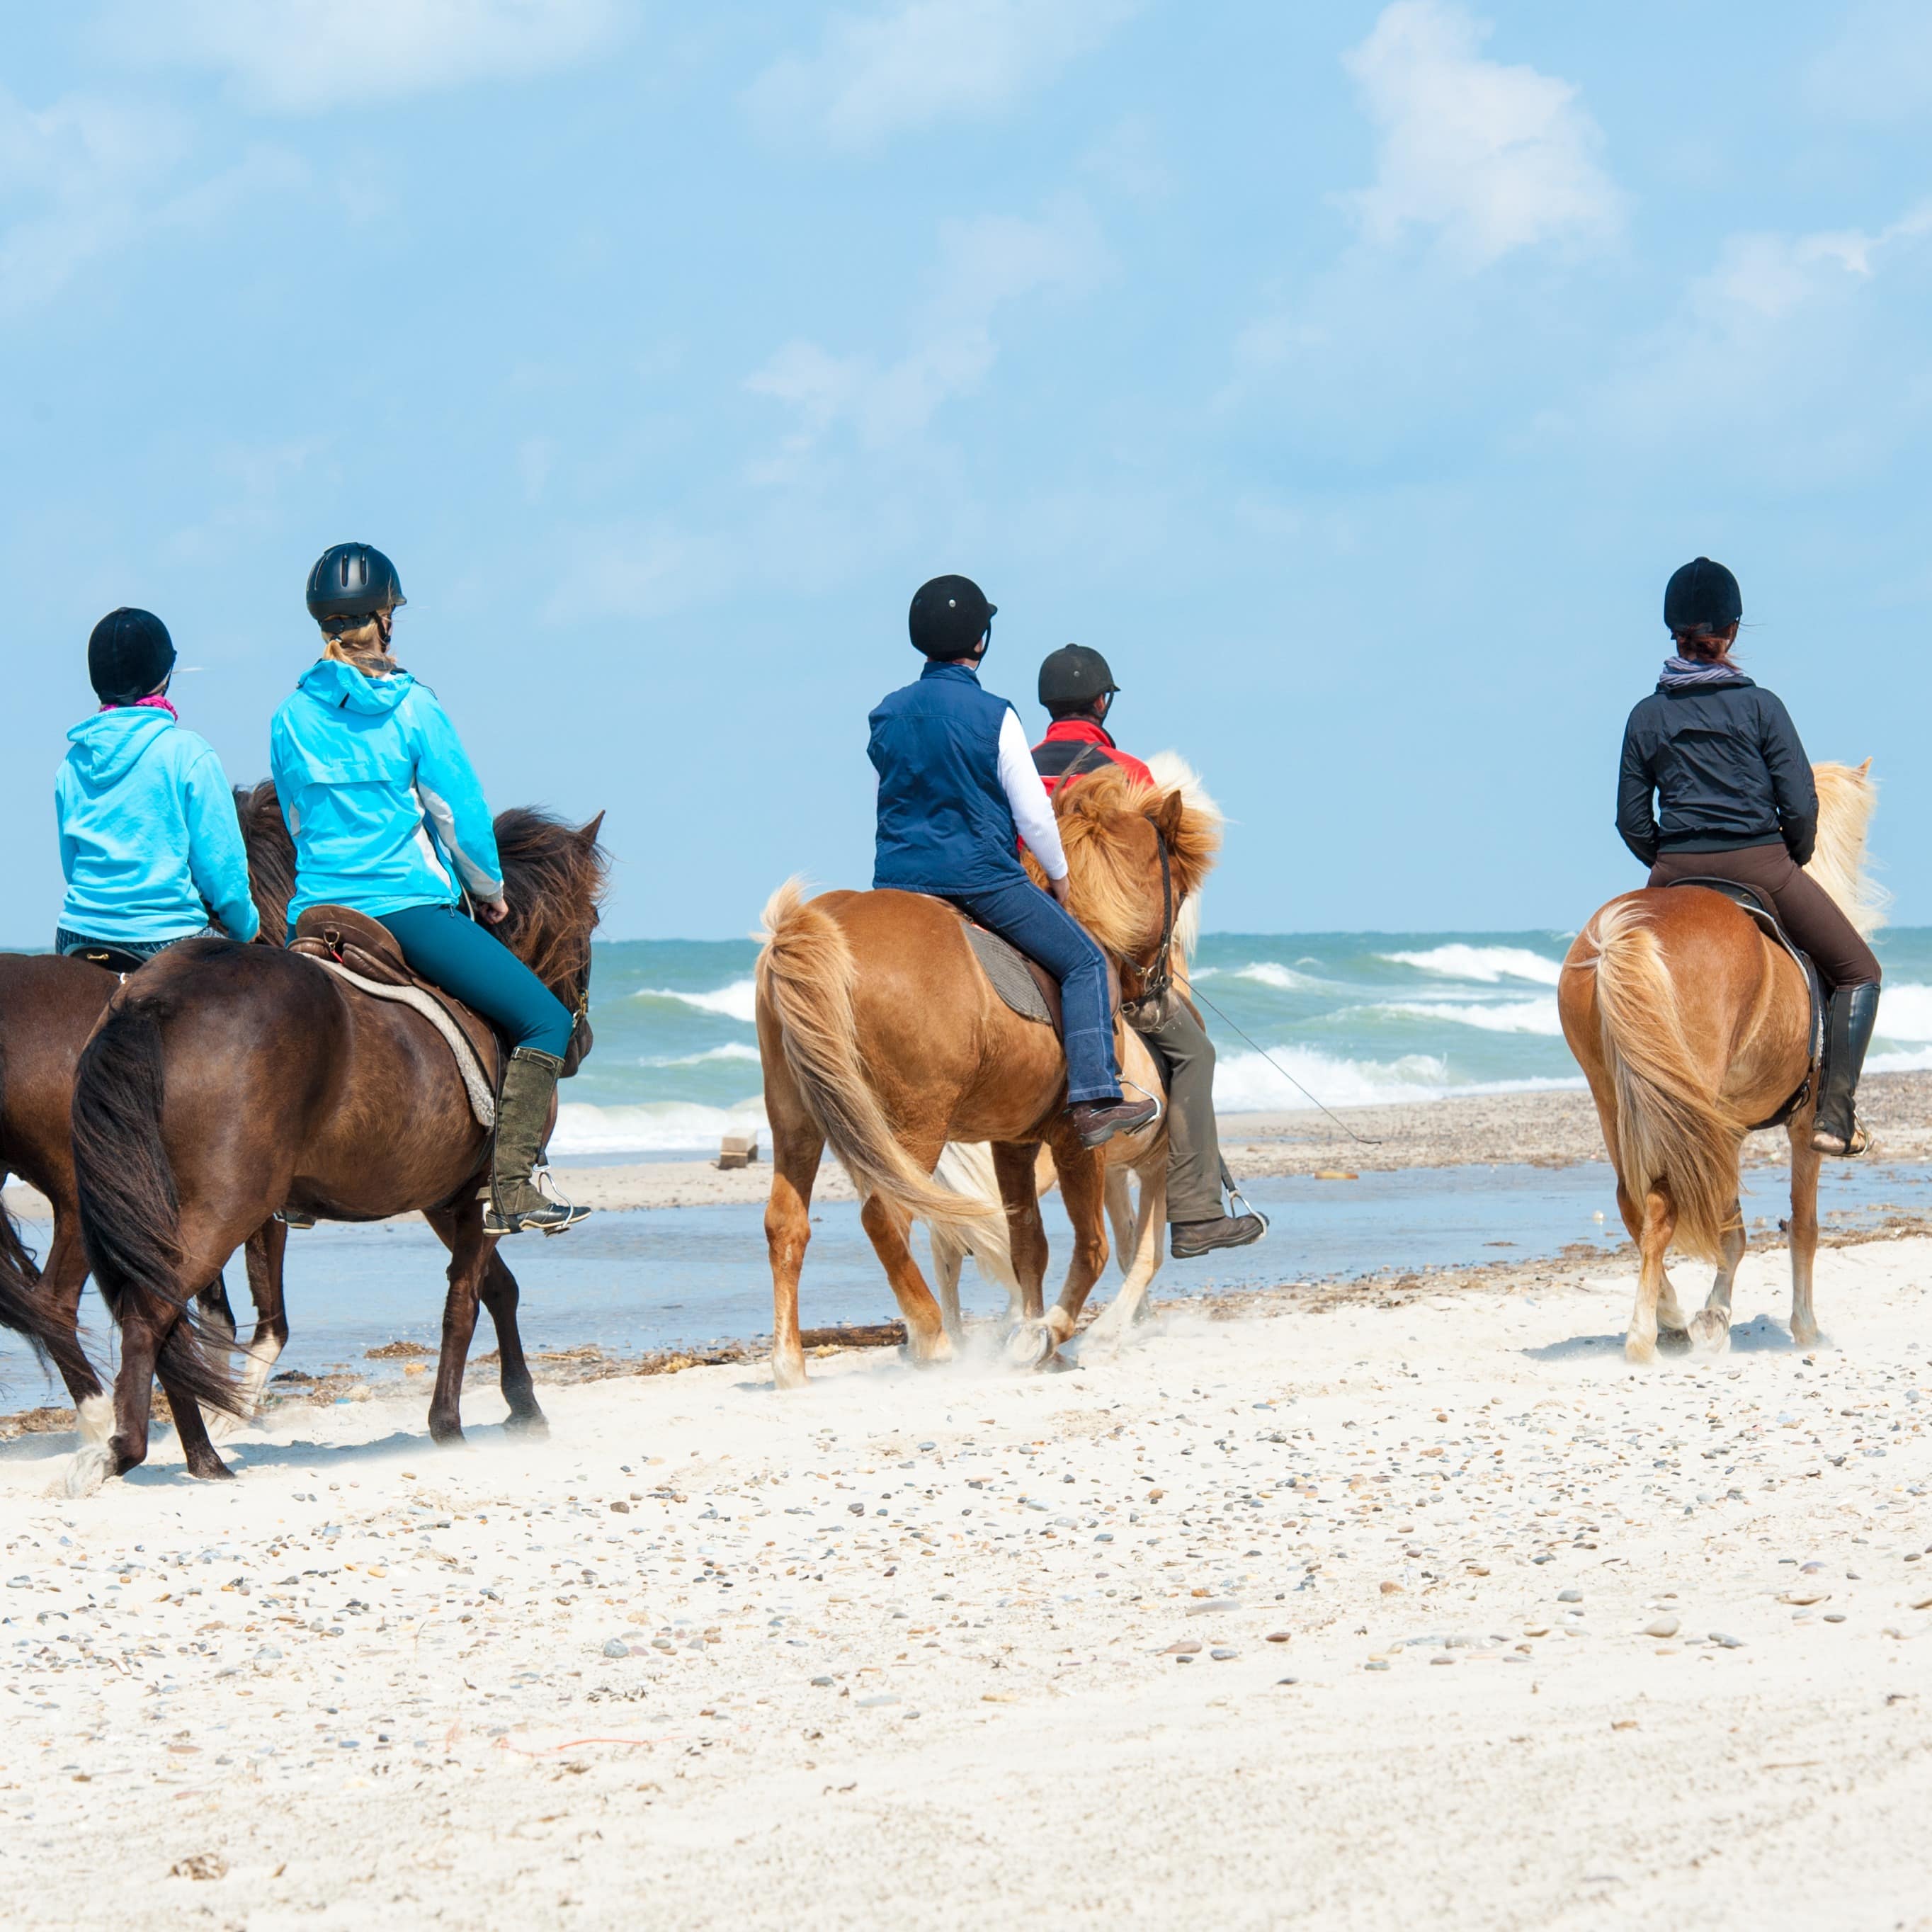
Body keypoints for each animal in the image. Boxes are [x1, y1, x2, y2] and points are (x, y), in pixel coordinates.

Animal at [64, 807, 603, 1484]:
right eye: (591, 923)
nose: (580, 1043)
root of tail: (152, 996)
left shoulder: (447, 1200)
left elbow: (496, 1290)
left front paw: (523, 1407)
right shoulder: (479, 1196)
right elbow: (464, 1303)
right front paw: (449, 1426)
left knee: (165, 1321)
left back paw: (204, 1458)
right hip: (226, 1206)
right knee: (151, 1313)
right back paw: (124, 1450)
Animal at [749, 765, 1213, 1391]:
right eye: (1180, 894)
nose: (1156, 999)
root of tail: (812, 926)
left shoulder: (1012, 1143)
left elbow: (1029, 1245)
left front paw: (1033, 1334)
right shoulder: (1079, 1142)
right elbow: (1089, 1246)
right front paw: (1048, 1334)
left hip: (798, 1119)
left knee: (787, 1223)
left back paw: (789, 1364)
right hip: (914, 1124)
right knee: (887, 1215)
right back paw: (932, 1337)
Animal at [1553, 761, 1885, 1368]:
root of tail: (1629, 933)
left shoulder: (1722, 1130)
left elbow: (1731, 1227)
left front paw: (1712, 1318)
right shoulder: (1802, 1126)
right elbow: (1803, 1225)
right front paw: (1801, 1326)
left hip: (1618, 1100)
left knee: (1634, 1203)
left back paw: (1668, 1317)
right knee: (1661, 1206)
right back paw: (1645, 1334)